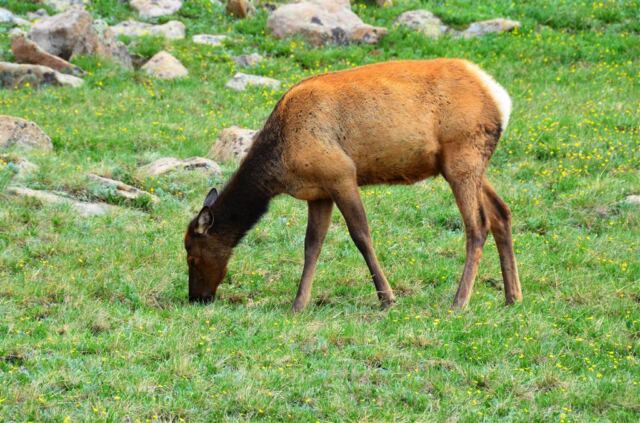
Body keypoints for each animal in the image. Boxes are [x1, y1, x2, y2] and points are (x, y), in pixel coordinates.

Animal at [185, 58, 523, 311]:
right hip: (464, 163)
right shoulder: (318, 192)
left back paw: (459, 301)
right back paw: (513, 296)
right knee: (501, 213)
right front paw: (299, 303)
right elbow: (312, 245)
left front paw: (387, 298)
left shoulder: (341, 174)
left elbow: (361, 235)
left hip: (462, 155)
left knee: (477, 224)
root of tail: (501, 99)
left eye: (191, 255)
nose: (196, 298)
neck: (281, 159)